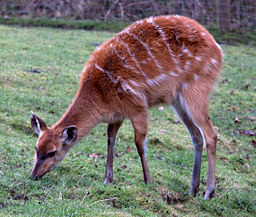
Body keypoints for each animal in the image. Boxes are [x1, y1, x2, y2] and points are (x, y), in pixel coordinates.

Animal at [29, 14, 222, 199]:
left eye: (52, 152)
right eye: (37, 148)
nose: (33, 175)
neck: (100, 94)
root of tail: (218, 50)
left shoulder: (137, 106)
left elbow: (139, 143)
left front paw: (148, 180)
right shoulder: (117, 114)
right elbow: (110, 138)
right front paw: (107, 178)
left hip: (196, 89)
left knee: (211, 134)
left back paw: (209, 192)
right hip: (177, 100)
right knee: (196, 136)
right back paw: (193, 189)